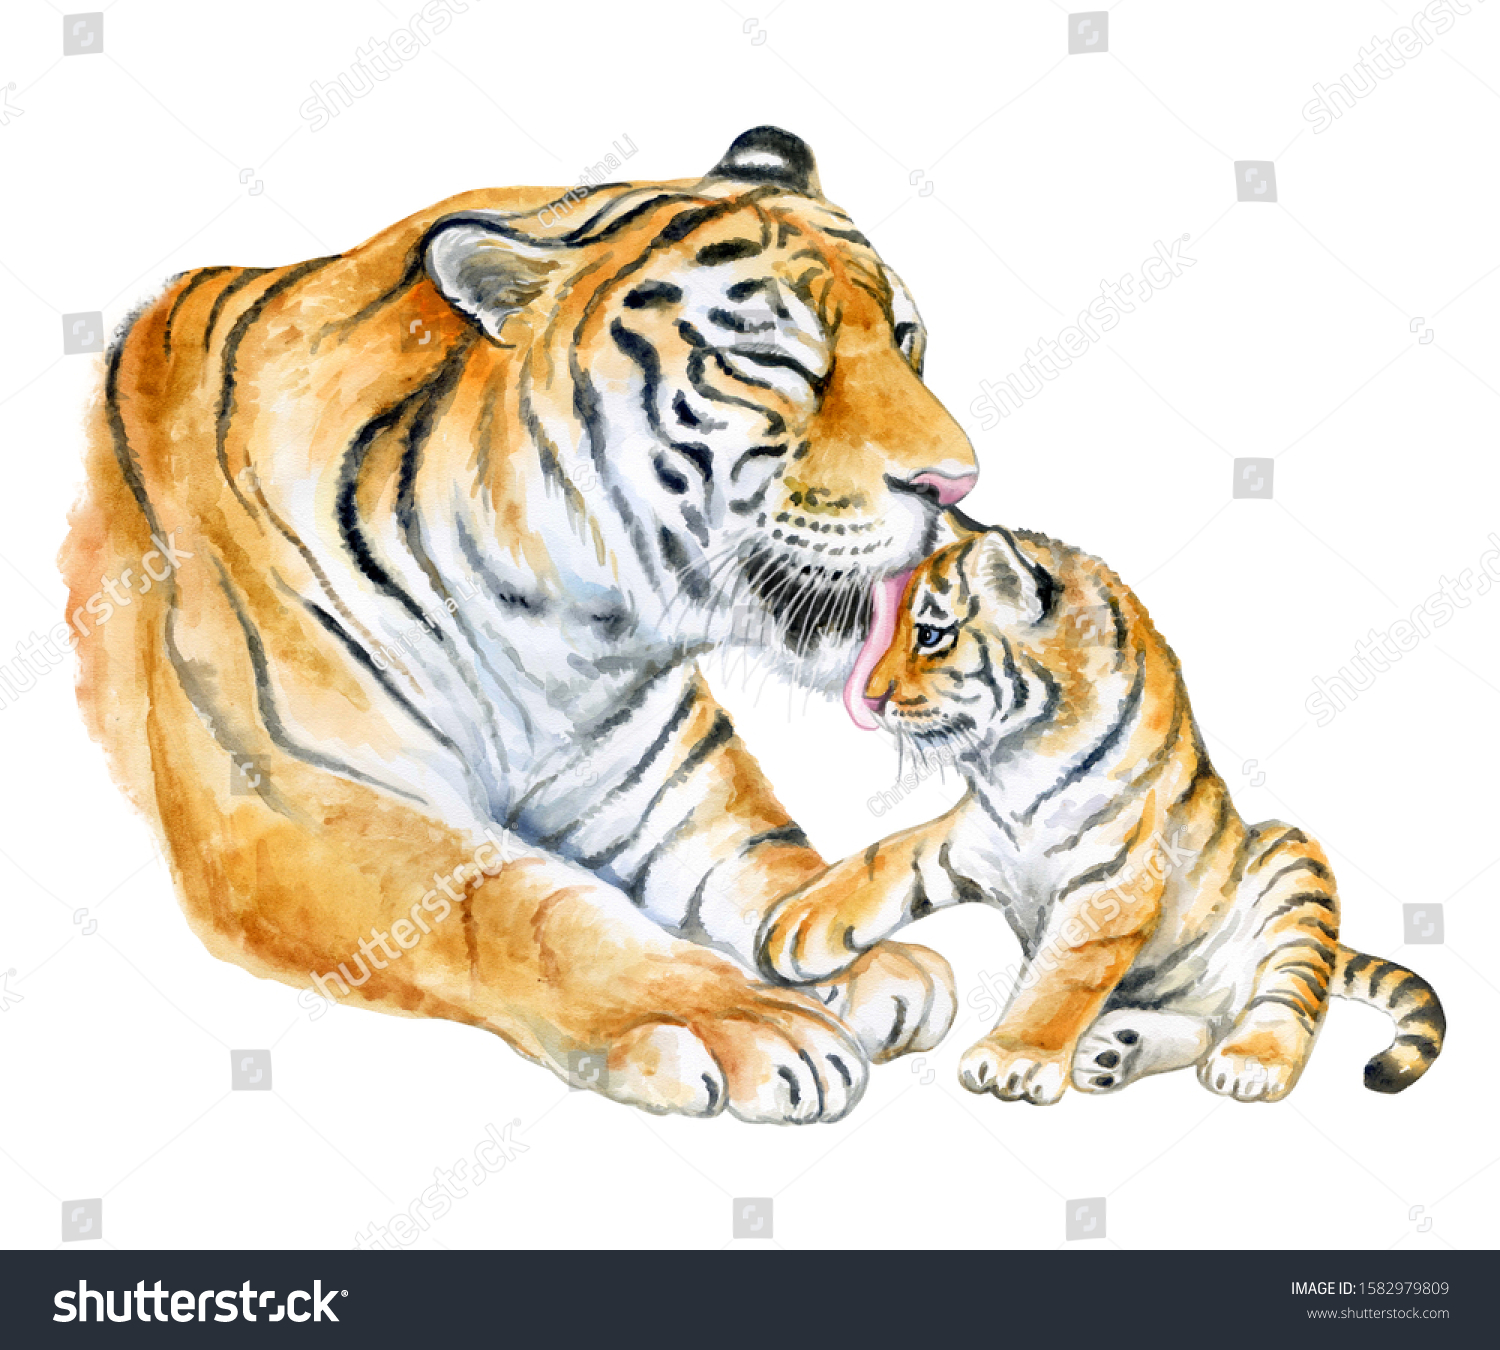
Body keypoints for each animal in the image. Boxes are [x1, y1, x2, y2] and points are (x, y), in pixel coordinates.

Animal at [60, 127, 982, 1124]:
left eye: (907, 341)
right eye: (773, 359)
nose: (954, 483)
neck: (561, 635)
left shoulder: (668, 788)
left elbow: (768, 857)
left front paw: (852, 946)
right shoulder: (291, 797)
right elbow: (528, 908)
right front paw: (737, 1017)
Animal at [758, 524, 1446, 1104]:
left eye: (930, 634)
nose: (869, 700)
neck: (1013, 760)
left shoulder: (1112, 883)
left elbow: (1060, 980)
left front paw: (1013, 1059)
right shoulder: (969, 836)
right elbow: (885, 856)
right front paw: (795, 927)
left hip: (1293, 866)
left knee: (1286, 1003)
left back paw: (1250, 1064)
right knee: (1205, 1021)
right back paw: (1115, 1052)